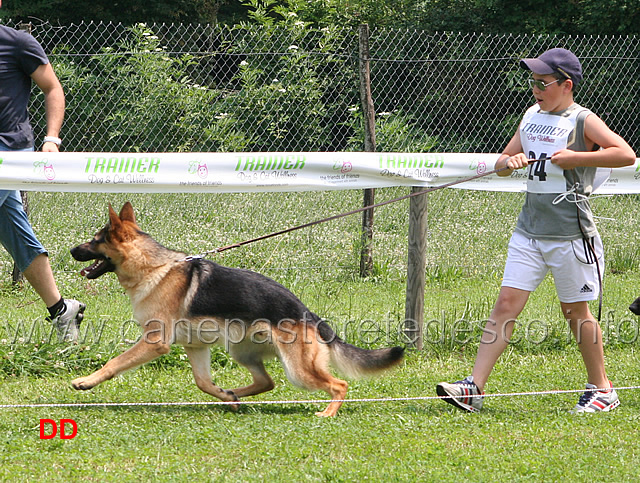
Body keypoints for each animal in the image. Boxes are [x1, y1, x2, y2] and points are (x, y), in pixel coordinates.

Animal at [70, 202, 400, 418]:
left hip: (298, 370)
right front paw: (222, 394)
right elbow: (203, 382)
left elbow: (115, 362)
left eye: (94, 241)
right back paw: (232, 396)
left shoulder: (155, 343)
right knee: (267, 382)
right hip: (242, 352)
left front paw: (86, 381)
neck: (153, 267)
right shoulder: (195, 346)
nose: (71, 250)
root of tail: (310, 315)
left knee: (338, 384)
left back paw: (327, 414)